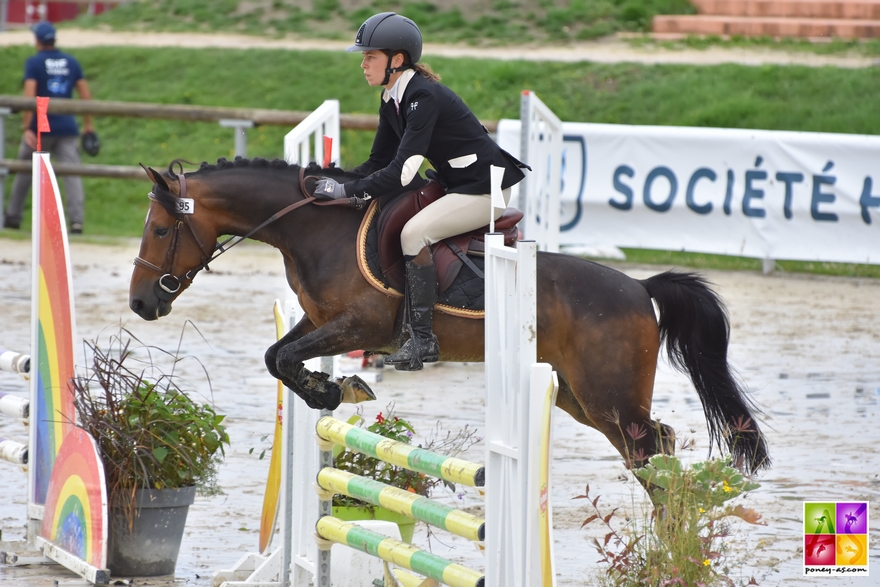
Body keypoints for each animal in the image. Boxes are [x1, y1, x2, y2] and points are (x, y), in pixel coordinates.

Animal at [131, 157, 768, 478]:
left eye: (160, 230)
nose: (141, 303)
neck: (316, 229)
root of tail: (639, 287)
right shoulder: (320, 322)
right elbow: (276, 356)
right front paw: (334, 388)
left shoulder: (362, 326)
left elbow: (285, 357)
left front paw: (335, 390)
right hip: (581, 399)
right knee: (653, 445)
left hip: (609, 394)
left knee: (650, 446)